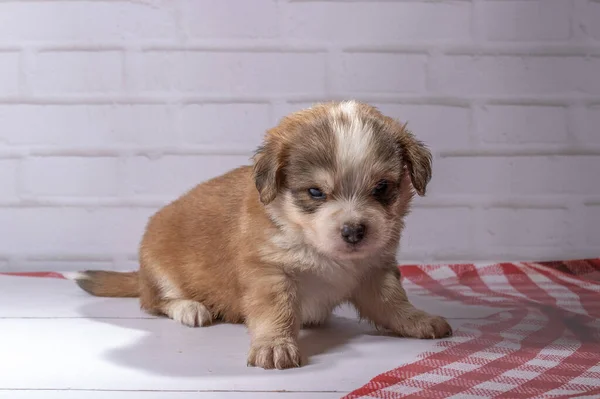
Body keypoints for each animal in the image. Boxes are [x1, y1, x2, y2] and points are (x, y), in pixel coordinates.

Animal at [74, 101, 450, 370]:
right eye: (315, 192)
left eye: (382, 188)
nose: (355, 230)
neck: (316, 248)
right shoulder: (270, 272)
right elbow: (276, 311)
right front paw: (275, 345)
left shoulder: (375, 271)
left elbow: (394, 303)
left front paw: (418, 320)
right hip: (158, 268)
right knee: (154, 302)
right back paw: (190, 308)